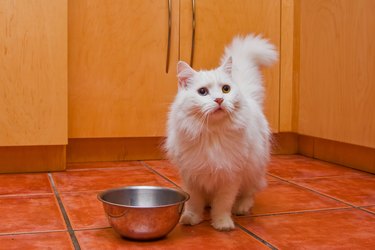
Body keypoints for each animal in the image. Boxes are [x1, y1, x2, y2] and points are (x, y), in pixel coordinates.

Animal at [166, 34, 278, 231]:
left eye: (226, 89)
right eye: (202, 92)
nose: (219, 100)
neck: (213, 134)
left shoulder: (230, 175)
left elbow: (223, 204)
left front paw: (222, 224)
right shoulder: (192, 176)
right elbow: (193, 203)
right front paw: (190, 219)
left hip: (253, 169)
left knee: (249, 193)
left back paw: (241, 208)